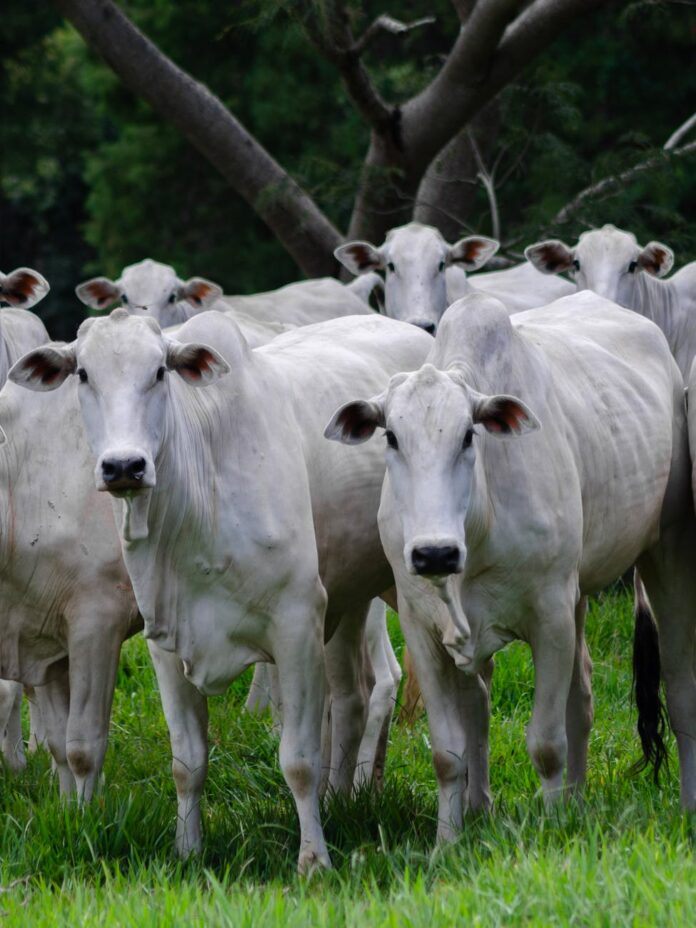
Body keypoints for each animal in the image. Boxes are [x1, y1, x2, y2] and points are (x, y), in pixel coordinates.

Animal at [9, 309, 432, 871]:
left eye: (160, 372)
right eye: (83, 374)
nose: (124, 466)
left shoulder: (296, 625)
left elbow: (298, 759)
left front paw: (313, 861)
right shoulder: (166, 644)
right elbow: (187, 761)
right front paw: (188, 851)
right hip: (349, 599)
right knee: (353, 696)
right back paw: (350, 798)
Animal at [325, 292, 696, 841]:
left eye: (467, 436)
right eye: (390, 436)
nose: (434, 553)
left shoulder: (549, 616)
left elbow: (545, 744)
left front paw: (553, 828)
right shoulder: (422, 628)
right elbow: (448, 754)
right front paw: (447, 842)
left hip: (666, 551)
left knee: (679, 685)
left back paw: (683, 805)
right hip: (578, 594)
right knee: (581, 699)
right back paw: (577, 799)